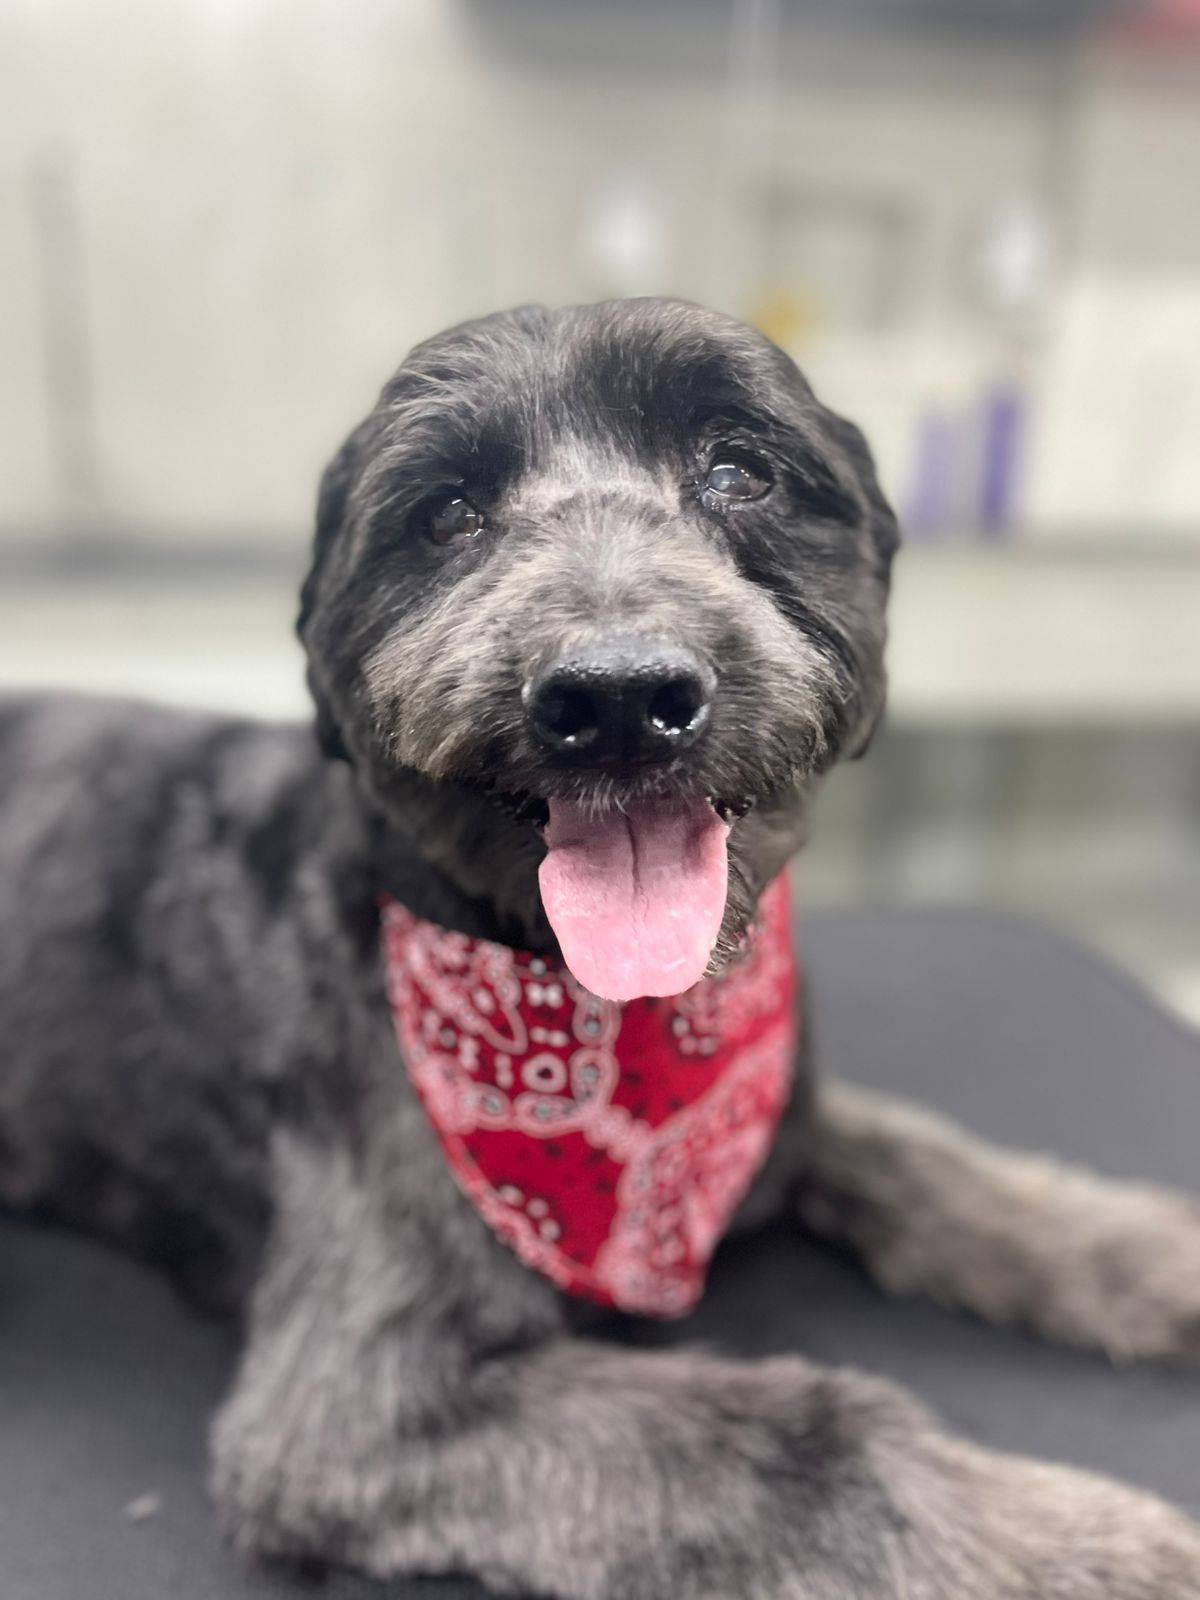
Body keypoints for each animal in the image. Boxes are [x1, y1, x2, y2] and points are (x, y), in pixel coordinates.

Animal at [3, 298, 1200, 1598]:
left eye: (740, 470)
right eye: (447, 512)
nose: (617, 695)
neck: (613, 1017)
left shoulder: (783, 1099)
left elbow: (936, 1158)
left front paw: (1143, 1250)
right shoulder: (356, 1415)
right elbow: (819, 1439)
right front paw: (1082, 1543)